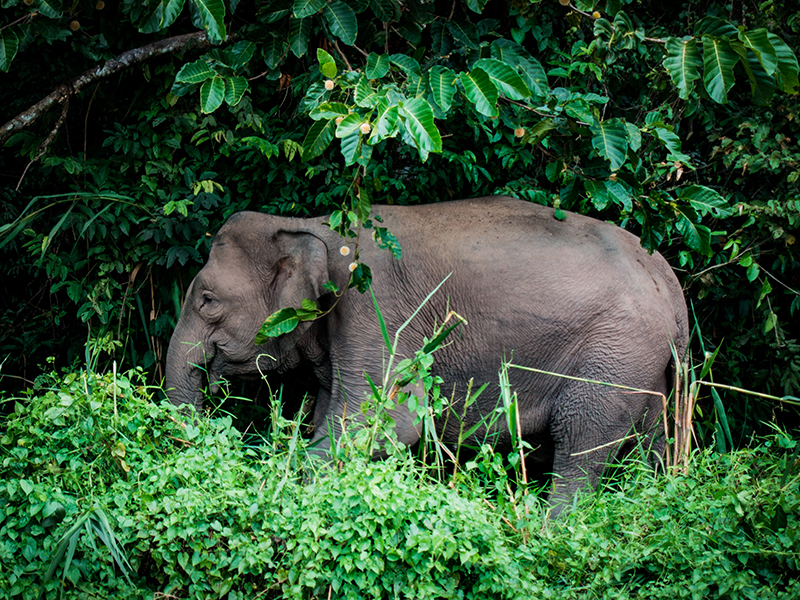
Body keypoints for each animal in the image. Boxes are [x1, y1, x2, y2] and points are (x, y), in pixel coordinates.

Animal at [167, 196, 688, 510]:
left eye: (208, 300)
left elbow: (386, 423)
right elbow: (334, 417)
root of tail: (671, 284)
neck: (309, 224)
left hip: (614, 353)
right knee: (649, 442)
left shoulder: (376, 307)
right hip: (644, 364)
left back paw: (548, 531)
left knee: (580, 442)